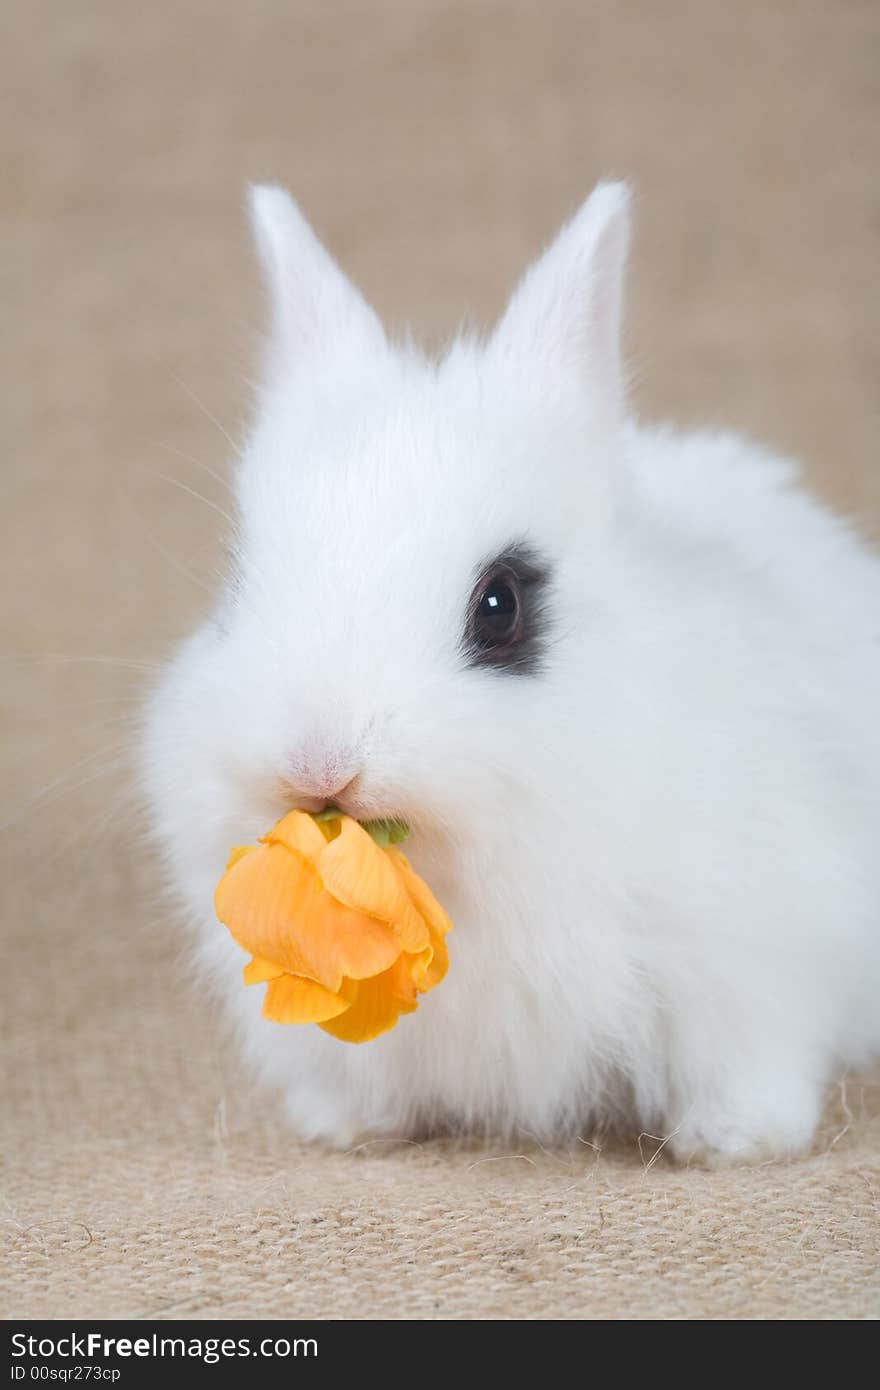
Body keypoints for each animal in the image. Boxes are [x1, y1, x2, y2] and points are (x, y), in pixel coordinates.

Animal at [140, 184, 873, 1162]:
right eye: (236, 581)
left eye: (501, 606)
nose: (318, 764)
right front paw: (348, 1127)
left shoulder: (750, 962)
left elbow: (743, 1057)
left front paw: (736, 1141)